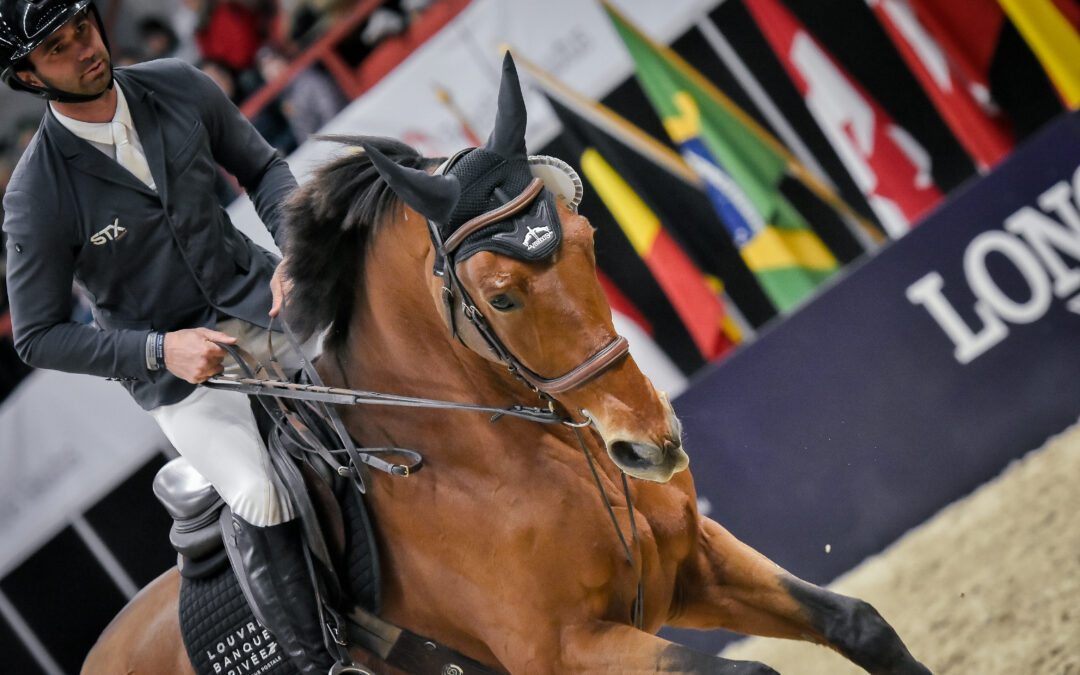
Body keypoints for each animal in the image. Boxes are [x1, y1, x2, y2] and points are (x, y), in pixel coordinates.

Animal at [81, 54, 930, 675]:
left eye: (588, 241)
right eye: (503, 294)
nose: (650, 444)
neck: (508, 458)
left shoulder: (696, 564)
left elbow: (859, 622)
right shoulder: (566, 649)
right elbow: (751, 669)